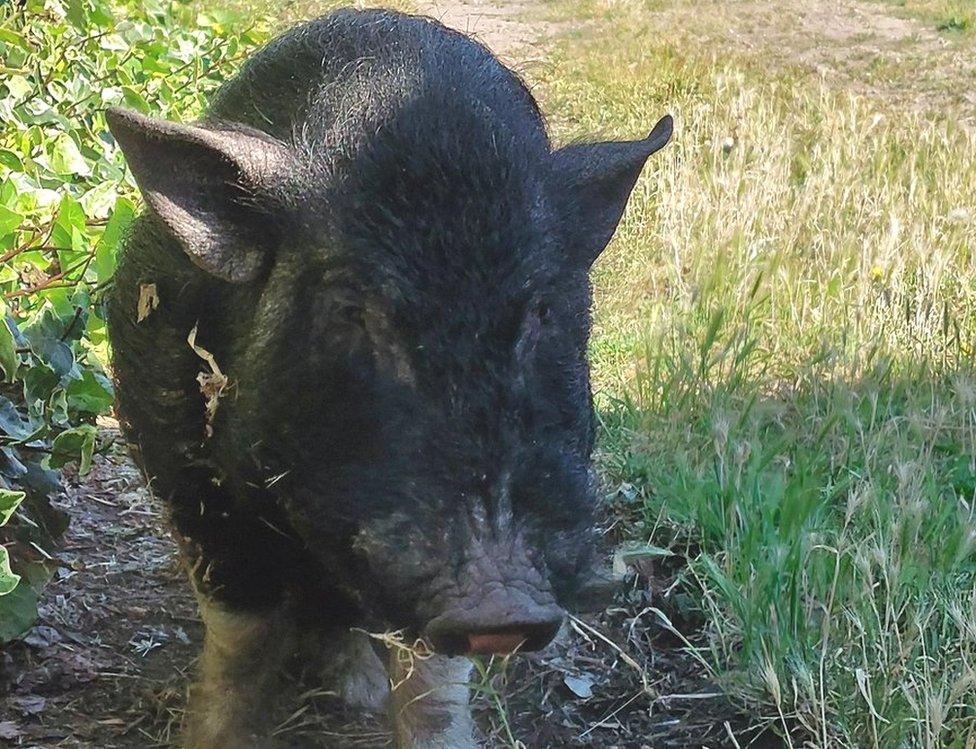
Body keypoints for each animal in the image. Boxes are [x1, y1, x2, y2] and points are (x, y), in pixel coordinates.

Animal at [105, 7, 672, 748]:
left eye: (543, 311)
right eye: (351, 308)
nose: (501, 600)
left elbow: (431, 677)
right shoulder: (182, 471)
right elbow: (241, 634)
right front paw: (212, 735)